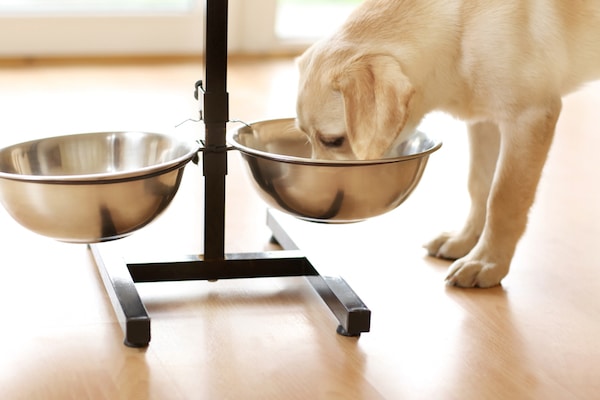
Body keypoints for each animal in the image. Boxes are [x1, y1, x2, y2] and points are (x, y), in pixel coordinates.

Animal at [296, 0, 600, 288]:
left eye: (334, 141)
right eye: (307, 137)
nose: (315, 204)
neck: (460, 29)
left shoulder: (529, 117)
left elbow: (503, 198)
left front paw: (487, 261)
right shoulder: (484, 121)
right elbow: (480, 186)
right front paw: (465, 240)